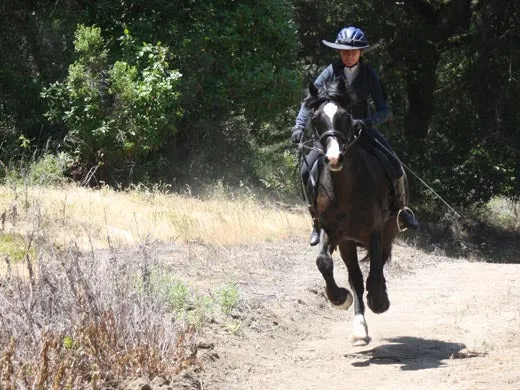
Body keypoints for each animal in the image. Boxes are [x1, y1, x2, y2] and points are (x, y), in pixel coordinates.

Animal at [304, 77, 398, 346]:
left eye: (346, 116)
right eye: (316, 118)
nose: (334, 158)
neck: (346, 187)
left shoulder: (376, 230)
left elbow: (375, 271)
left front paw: (379, 300)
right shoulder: (332, 231)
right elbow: (323, 262)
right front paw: (338, 298)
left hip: (388, 229)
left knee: (378, 265)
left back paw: (378, 299)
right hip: (348, 242)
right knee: (355, 278)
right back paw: (359, 328)